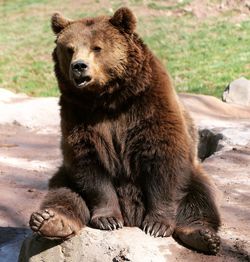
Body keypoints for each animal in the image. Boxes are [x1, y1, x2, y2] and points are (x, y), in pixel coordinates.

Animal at [29, 7, 221, 255]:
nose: (79, 66)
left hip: (193, 173)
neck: (109, 99)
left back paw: (203, 235)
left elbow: (164, 157)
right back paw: (50, 220)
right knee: (62, 193)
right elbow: (89, 162)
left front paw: (157, 225)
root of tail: (133, 217)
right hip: (65, 176)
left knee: (200, 197)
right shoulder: (78, 114)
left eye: (97, 47)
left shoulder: (149, 104)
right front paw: (109, 219)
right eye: (69, 49)